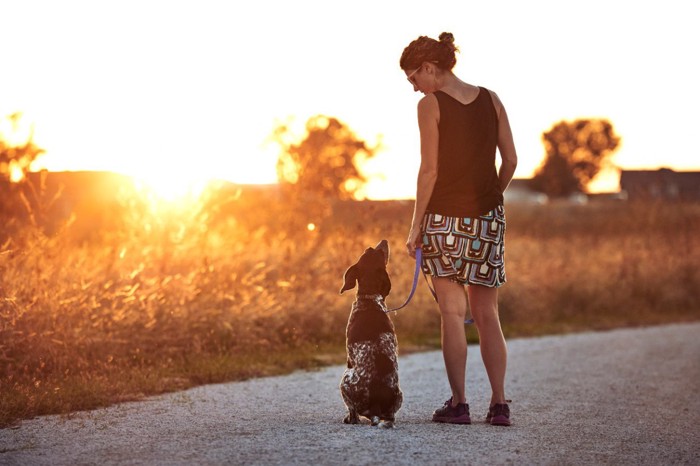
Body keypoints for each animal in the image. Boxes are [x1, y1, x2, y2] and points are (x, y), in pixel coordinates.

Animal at [338, 240, 402, 426]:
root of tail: (376, 406)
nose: (384, 241)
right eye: (370, 250)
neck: (369, 298)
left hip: (344, 379)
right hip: (399, 396)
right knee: (390, 417)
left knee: (353, 414)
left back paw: (349, 419)